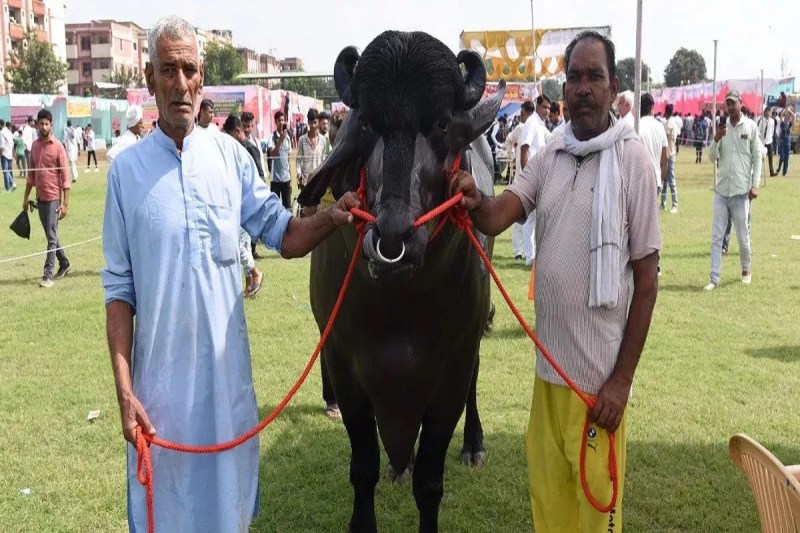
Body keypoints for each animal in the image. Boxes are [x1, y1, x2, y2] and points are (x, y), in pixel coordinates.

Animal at [298, 31, 505, 533]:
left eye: (441, 123)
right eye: (368, 124)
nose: (392, 239)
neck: (398, 310)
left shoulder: (450, 374)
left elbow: (430, 481)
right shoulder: (346, 369)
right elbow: (363, 468)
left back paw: (473, 445)